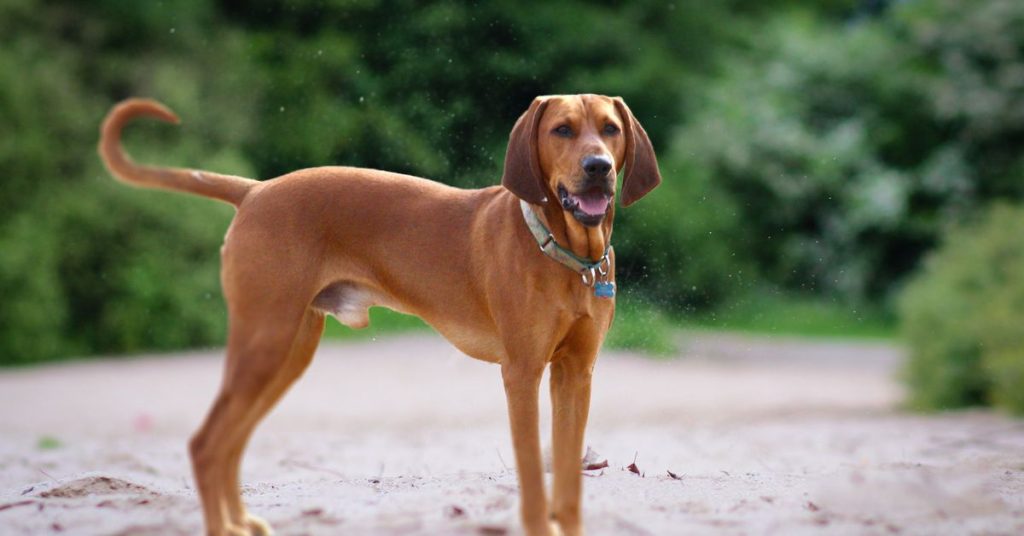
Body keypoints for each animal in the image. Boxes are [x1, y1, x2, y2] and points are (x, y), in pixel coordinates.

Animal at [99, 94, 659, 532]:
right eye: (562, 129)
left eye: (610, 129)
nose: (598, 167)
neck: (565, 257)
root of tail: (255, 190)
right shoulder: (521, 373)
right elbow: (534, 478)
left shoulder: (576, 374)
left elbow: (567, 480)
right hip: (264, 341)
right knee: (206, 444)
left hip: (287, 352)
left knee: (230, 443)